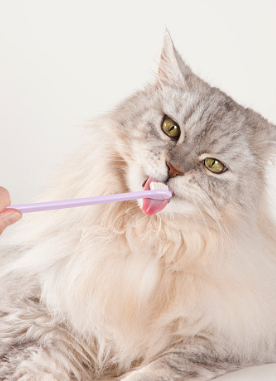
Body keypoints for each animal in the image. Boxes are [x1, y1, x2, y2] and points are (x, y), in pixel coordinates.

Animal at [0, 31, 276, 380]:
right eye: (171, 128)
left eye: (214, 165)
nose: (174, 169)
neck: (142, 235)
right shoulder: (38, 317)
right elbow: (33, 366)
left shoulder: (220, 342)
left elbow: (158, 369)